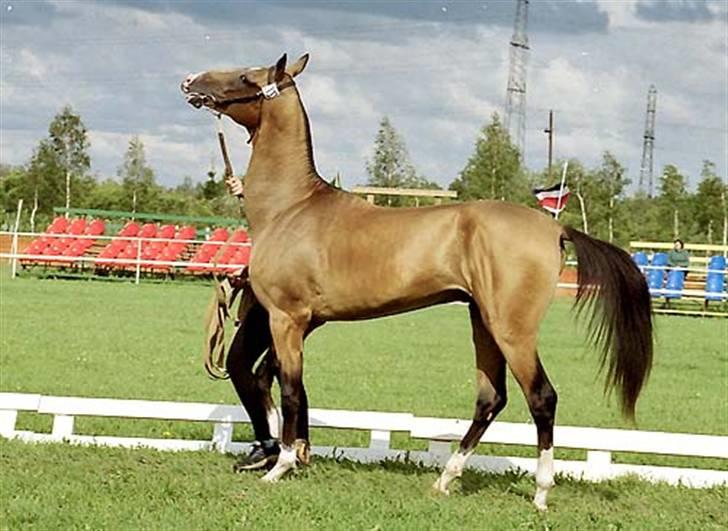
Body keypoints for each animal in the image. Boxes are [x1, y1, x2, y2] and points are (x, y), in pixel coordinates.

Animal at [183, 54, 656, 512]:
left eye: (246, 77)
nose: (191, 80)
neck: (292, 207)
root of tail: (555, 228)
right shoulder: (303, 323)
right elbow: (276, 381)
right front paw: (292, 455)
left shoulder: (287, 318)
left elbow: (291, 391)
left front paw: (279, 466)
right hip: (481, 323)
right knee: (491, 398)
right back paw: (446, 480)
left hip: (512, 330)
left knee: (541, 397)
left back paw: (540, 493)